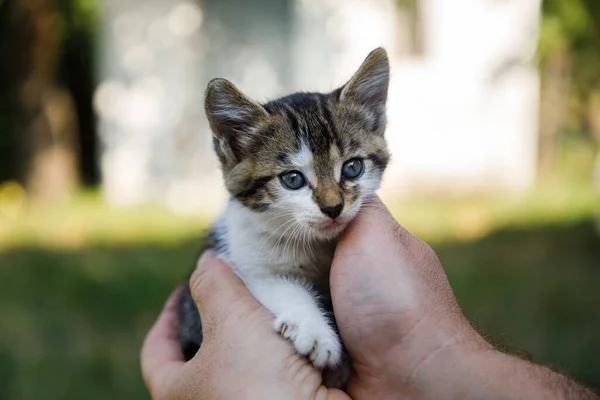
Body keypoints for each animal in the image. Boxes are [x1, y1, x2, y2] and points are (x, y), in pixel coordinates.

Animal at [177, 48, 394, 390]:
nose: (333, 207)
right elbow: (279, 286)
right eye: (292, 179)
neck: (314, 244)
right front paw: (317, 334)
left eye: (352, 168)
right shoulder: (243, 261)